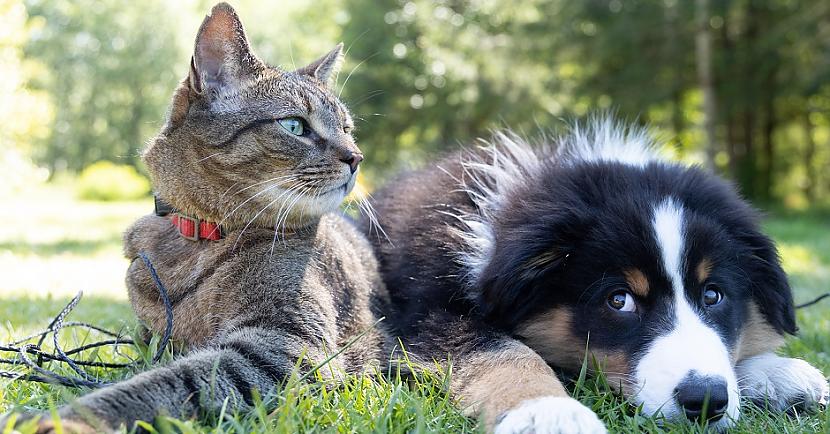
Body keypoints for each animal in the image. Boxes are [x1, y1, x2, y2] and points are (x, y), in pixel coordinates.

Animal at [2, 2, 390, 430]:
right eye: (294, 125)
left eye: (347, 129)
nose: (356, 157)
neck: (198, 236)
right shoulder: (152, 337)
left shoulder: (285, 346)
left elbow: (164, 383)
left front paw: (73, 419)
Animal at [366, 117, 830, 432]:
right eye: (618, 300)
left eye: (713, 295)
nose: (704, 401)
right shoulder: (426, 314)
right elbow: (502, 351)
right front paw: (547, 411)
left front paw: (777, 373)